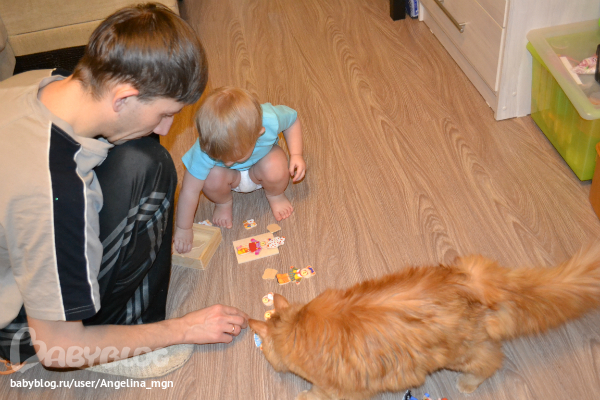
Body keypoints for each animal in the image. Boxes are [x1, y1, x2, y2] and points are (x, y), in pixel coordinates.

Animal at [249, 245, 600, 400]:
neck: (296, 326)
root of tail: (469, 281)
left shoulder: (340, 389)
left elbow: (318, 394)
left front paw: (304, 396)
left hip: (460, 354)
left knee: (492, 361)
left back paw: (468, 384)